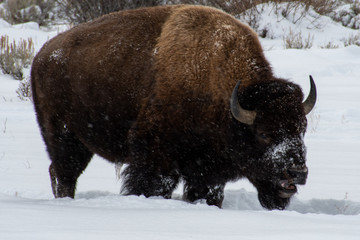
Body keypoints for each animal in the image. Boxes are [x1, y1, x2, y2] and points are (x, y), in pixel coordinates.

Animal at [31, 4, 318, 209]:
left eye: (301, 129)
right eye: (264, 133)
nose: (297, 172)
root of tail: (41, 56)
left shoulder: (208, 172)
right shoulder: (156, 158)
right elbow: (154, 186)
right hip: (64, 136)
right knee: (63, 172)